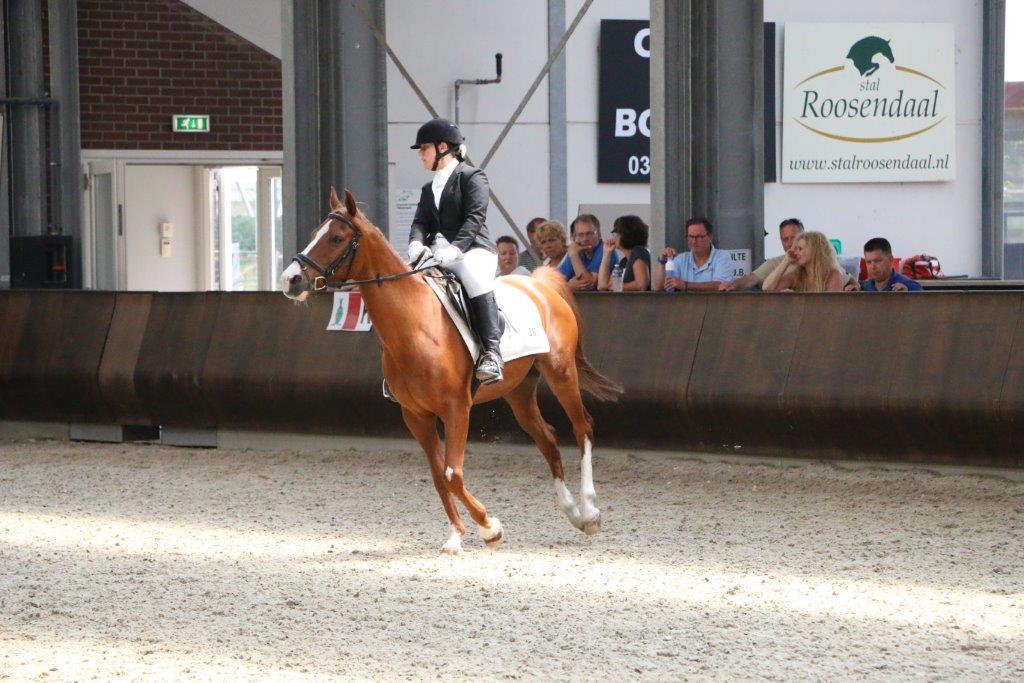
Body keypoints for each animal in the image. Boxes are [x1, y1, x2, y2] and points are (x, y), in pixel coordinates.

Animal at [280, 189, 618, 552]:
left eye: (337, 238)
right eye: (315, 233)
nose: (290, 279)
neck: (415, 324)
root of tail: (540, 285)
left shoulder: (457, 408)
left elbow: (452, 474)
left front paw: (490, 528)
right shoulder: (416, 416)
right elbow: (438, 476)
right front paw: (456, 535)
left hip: (561, 372)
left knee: (583, 427)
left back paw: (589, 512)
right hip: (519, 392)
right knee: (549, 440)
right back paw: (571, 512)